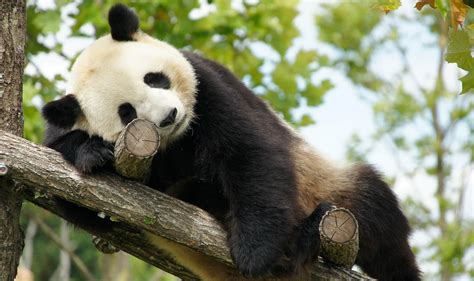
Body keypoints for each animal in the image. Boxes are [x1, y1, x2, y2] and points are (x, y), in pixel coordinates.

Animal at [42, 2, 420, 280]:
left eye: (155, 79)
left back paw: (310, 237)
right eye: (126, 112)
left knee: (377, 219)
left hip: (331, 187)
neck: (179, 141)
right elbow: (81, 206)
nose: (169, 116)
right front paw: (90, 151)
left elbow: (251, 153)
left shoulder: (210, 87)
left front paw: (255, 252)